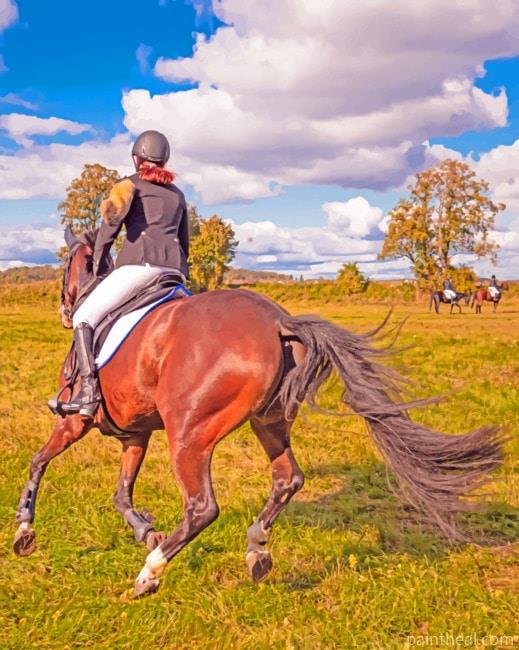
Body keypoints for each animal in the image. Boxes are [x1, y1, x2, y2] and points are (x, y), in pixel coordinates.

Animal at [13, 228, 505, 597]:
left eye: (66, 262)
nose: (64, 309)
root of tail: (278, 322)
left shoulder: (75, 419)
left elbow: (38, 462)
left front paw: (24, 530)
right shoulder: (135, 433)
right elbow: (121, 494)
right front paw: (144, 530)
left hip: (189, 435)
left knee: (202, 508)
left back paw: (150, 574)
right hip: (268, 422)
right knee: (288, 479)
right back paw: (257, 550)